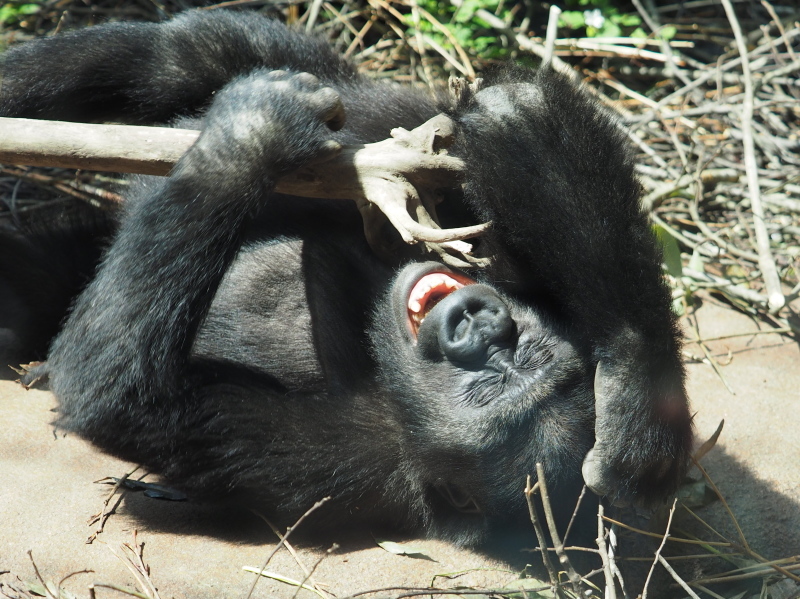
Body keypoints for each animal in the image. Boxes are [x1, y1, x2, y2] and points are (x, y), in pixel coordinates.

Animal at [0, 10, 688, 544]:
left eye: (485, 392)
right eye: (522, 348)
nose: (481, 325)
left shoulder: (366, 461)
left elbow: (126, 401)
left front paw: (251, 135)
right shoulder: (460, 203)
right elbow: (522, 115)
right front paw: (636, 397)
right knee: (186, 54)